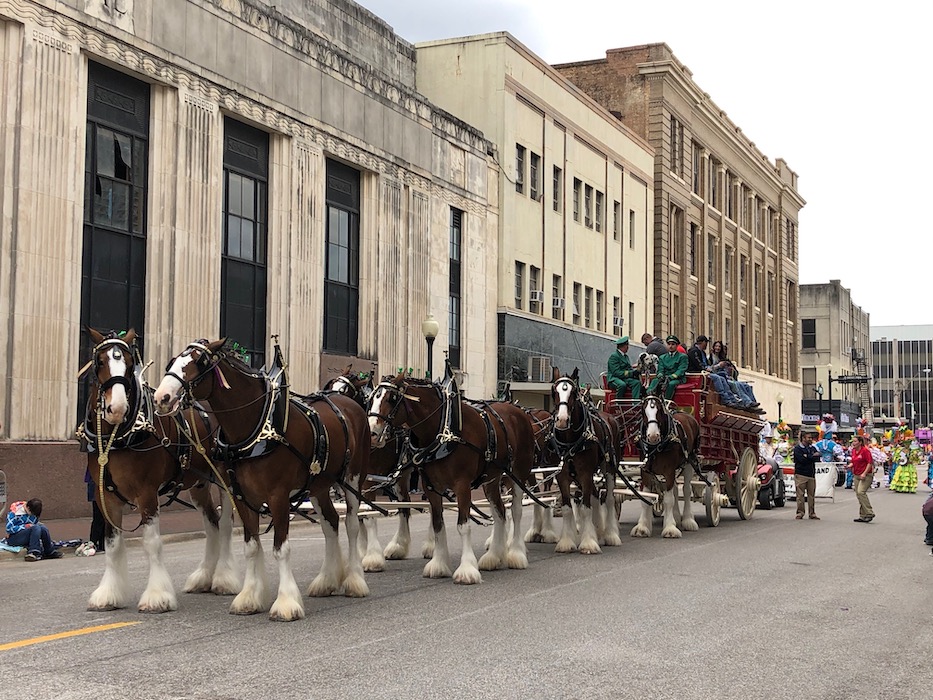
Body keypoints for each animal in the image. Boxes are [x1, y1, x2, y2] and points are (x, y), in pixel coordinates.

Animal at [78, 328, 238, 612]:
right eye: (99, 362)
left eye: (129, 363)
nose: (117, 408)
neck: (119, 437)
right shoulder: (105, 496)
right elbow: (112, 544)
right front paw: (108, 594)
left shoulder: (147, 493)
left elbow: (151, 543)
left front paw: (157, 596)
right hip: (199, 485)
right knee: (212, 524)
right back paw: (204, 577)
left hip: (224, 479)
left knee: (226, 524)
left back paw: (223, 579)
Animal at [153, 336, 368, 620]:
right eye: (173, 361)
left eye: (199, 363)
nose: (161, 397)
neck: (255, 430)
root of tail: (348, 403)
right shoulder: (242, 496)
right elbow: (251, 546)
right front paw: (249, 598)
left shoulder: (278, 497)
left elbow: (281, 548)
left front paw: (286, 602)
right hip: (318, 485)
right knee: (331, 523)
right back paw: (326, 581)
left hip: (353, 479)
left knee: (352, 524)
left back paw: (355, 580)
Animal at [368, 374, 536, 584]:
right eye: (372, 398)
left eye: (391, 398)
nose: (372, 433)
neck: (444, 430)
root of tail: (518, 411)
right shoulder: (430, 486)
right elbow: (438, 524)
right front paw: (439, 564)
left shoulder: (461, 485)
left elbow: (463, 525)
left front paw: (467, 570)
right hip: (491, 479)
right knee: (500, 512)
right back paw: (494, 557)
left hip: (519, 474)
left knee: (516, 511)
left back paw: (516, 554)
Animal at [548, 366, 620, 552]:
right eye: (554, 391)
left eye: (573, 392)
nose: (562, 420)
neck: (570, 441)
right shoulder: (563, 475)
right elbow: (568, 508)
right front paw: (566, 542)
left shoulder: (586, 473)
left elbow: (586, 507)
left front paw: (588, 543)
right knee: (595, 495)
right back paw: (598, 531)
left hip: (610, 467)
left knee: (609, 499)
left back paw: (610, 534)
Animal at [632, 396, 700, 540]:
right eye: (643, 411)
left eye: (659, 410)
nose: (653, 436)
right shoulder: (645, 471)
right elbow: (646, 498)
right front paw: (642, 527)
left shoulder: (668, 471)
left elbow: (669, 500)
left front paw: (669, 528)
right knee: (674, 490)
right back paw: (676, 517)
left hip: (689, 463)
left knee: (686, 490)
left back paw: (688, 520)